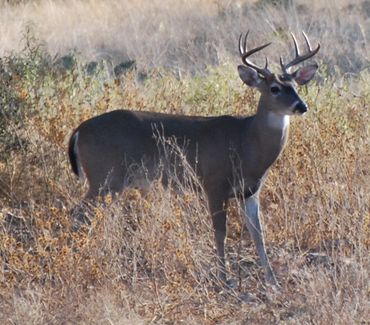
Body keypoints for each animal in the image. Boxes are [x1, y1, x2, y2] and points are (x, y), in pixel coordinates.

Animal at [70, 30, 320, 284]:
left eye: (295, 86)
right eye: (274, 89)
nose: (302, 106)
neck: (246, 142)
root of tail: (78, 130)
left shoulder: (250, 191)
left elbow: (258, 233)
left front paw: (272, 280)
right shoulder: (214, 183)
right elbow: (221, 232)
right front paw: (224, 278)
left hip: (109, 184)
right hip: (103, 178)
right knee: (77, 214)